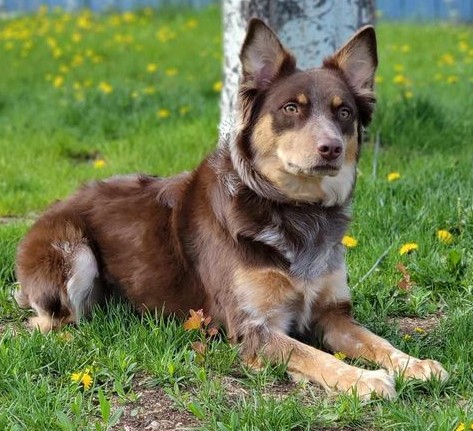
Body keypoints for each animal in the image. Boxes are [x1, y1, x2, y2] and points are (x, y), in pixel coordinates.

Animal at [12, 19, 446, 398]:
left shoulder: (334, 313)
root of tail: (54, 206)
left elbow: (377, 341)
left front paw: (414, 364)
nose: (331, 148)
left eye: (344, 112)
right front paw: (364, 380)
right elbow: (315, 357)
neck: (293, 208)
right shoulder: (253, 328)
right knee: (46, 321)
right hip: (73, 254)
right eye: (291, 109)